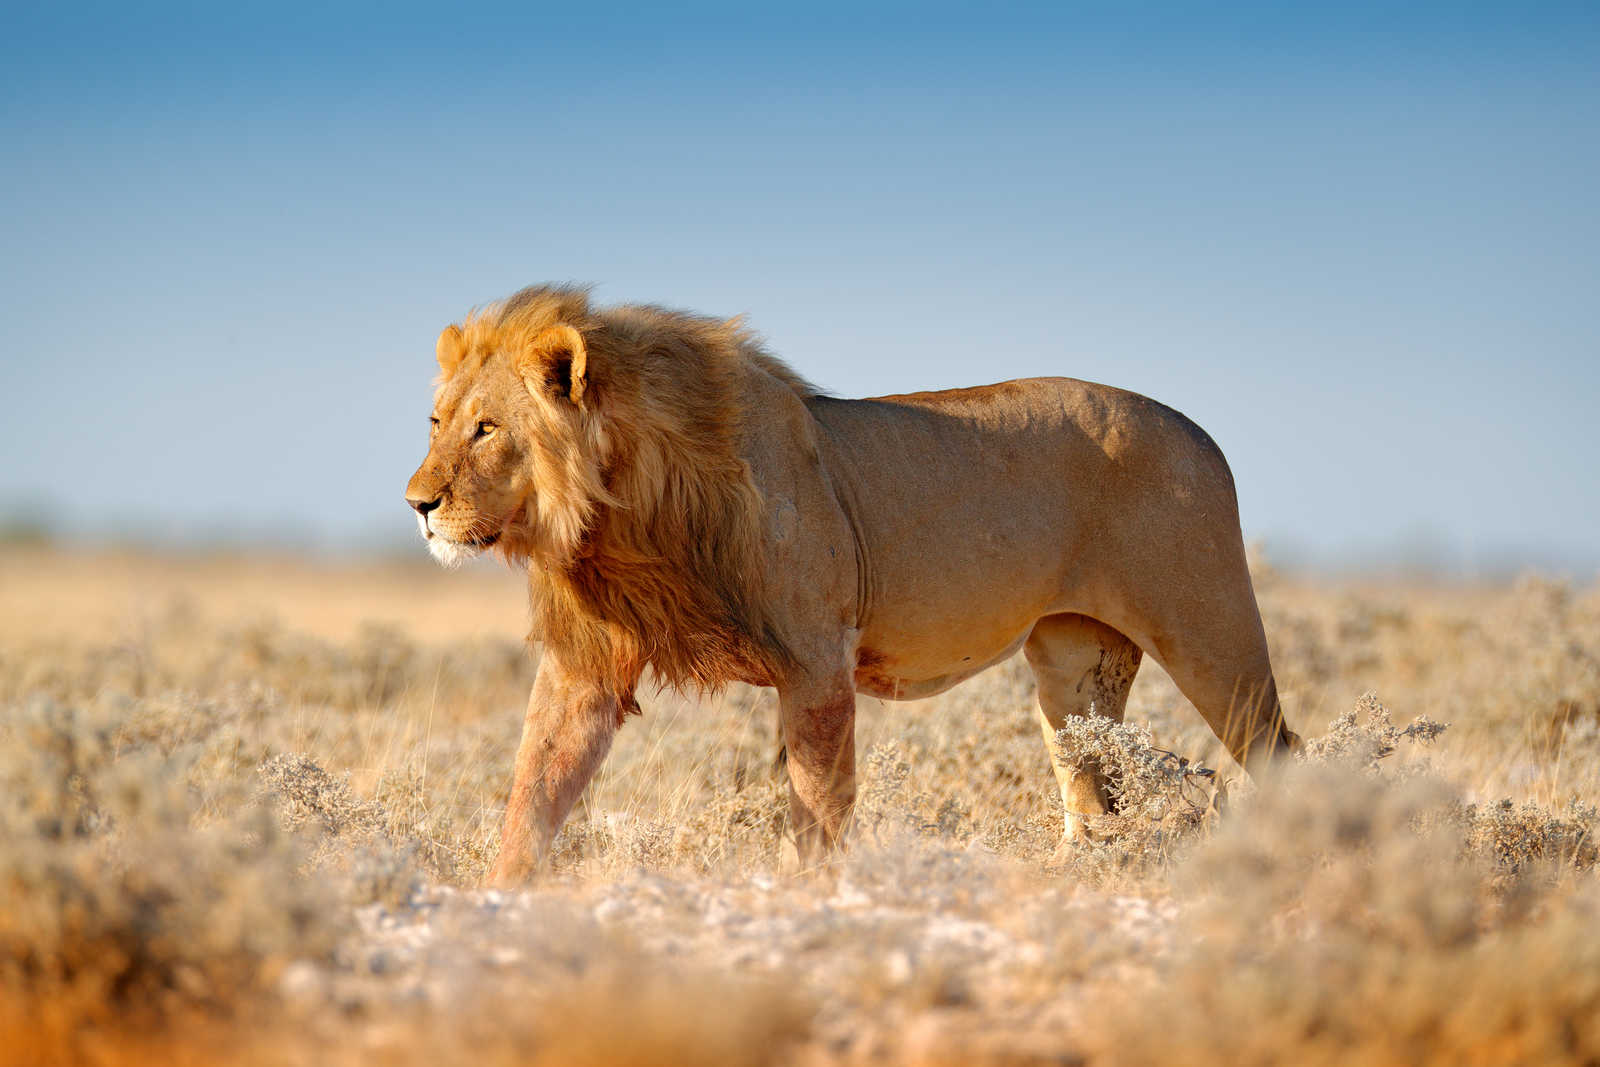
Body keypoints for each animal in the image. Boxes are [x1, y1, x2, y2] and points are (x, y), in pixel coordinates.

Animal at [405, 284, 1301, 885]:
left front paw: (814, 895)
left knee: (1281, 750)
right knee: (1090, 792)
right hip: (1074, 666)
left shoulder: (816, 661)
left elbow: (817, 802)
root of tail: (1203, 434)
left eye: (487, 429)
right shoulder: (583, 664)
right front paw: (496, 901)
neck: (617, 515)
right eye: (437, 422)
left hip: (1212, 631)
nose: (418, 504)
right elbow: (535, 787)